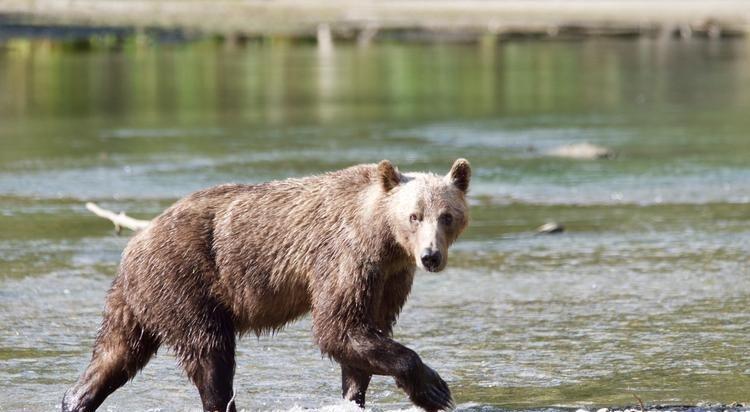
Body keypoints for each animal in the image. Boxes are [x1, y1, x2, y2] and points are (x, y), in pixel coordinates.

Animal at [66, 159, 476, 412]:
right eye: (414, 215)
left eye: (447, 216)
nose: (430, 256)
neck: (380, 237)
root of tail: (135, 242)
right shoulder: (344, 258)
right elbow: (337, 328)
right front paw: (436, 390)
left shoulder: (388, 277)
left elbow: (366, 332)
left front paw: (353, 395)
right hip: (185, 281)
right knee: (210, 353)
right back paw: (220, 400)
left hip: (138, 300)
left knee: (115, 354)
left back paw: (75, 397)